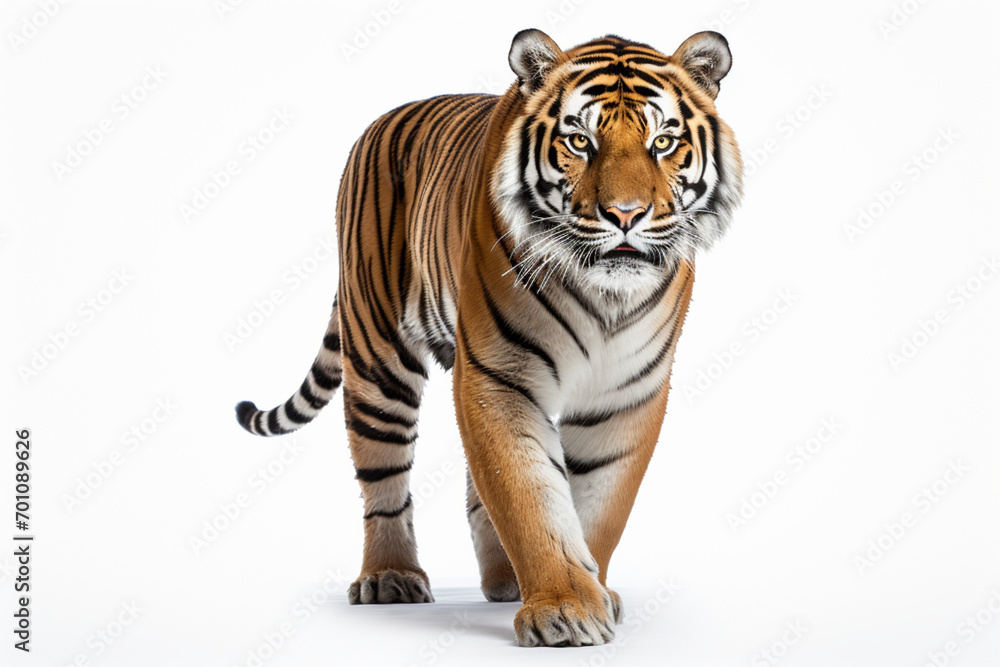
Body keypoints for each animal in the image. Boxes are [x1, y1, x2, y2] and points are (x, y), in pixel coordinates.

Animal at [235, 29, 743, 647]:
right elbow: (528, 494)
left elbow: (597, 504)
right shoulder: (499, 377)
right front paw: (567, 608)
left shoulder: (627, 391)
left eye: (664, 141)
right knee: (383, 478)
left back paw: (503, 580)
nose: (625, 215)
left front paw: (592, 591)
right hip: (378, 355)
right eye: (580, 140)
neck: (605, 298)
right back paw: (389, 576)